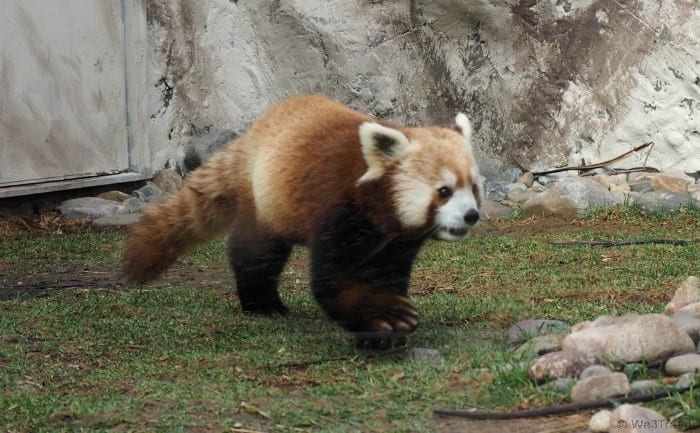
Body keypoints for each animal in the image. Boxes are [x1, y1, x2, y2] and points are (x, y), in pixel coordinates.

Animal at [123, 94, 482, 348]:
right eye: (444, 191)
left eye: (473, 187)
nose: (472, 215)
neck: (376, 208)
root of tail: (254, 133)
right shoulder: (337, 210)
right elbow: (333, 282)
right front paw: (383, 319)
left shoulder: (394, 241)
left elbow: (386, 273)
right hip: (265, 199)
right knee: (256, 253)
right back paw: (263, 304)